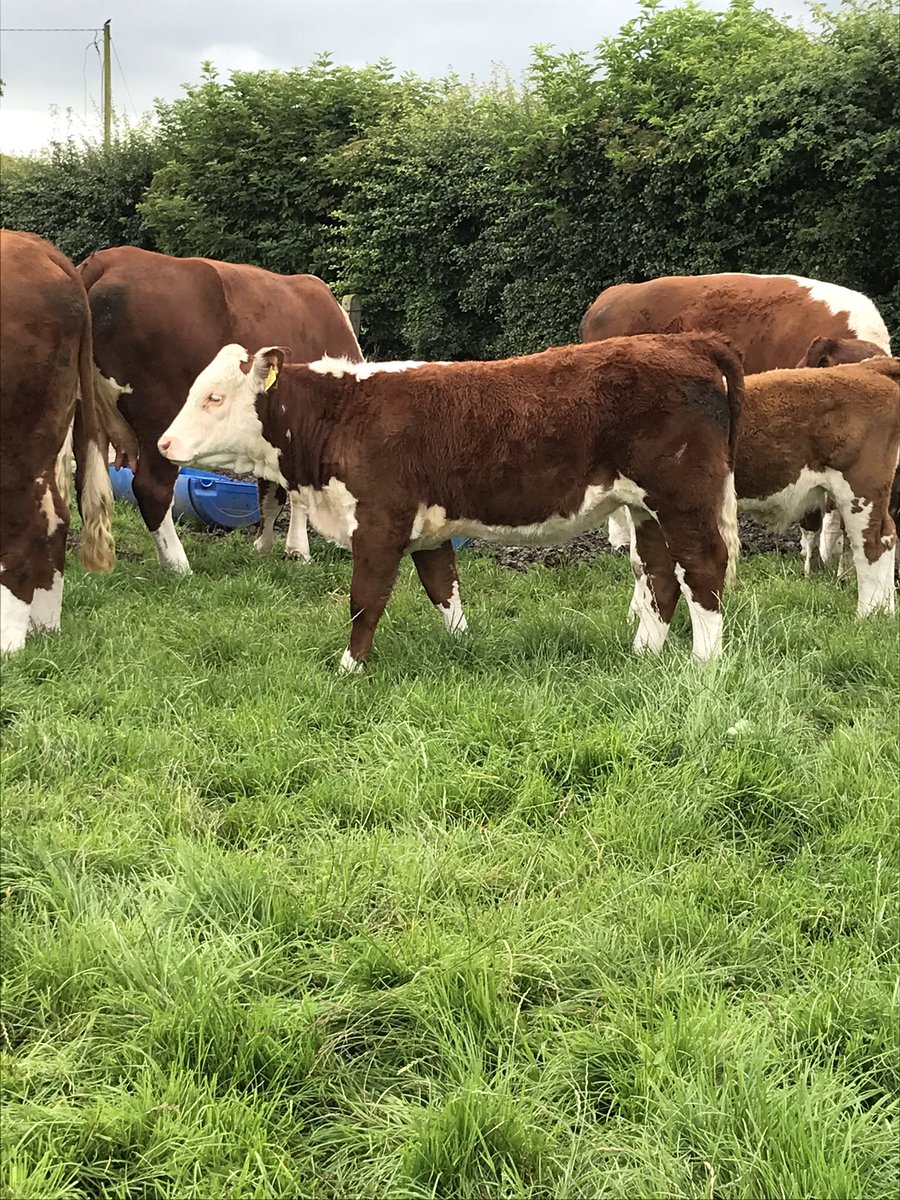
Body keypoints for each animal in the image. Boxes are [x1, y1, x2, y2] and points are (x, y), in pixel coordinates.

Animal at [1, 230, 115, 655]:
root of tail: (39, 247)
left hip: (16, 437)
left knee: (26, 525)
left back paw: (10, 643)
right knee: (57, 517)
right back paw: (44, 627)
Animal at [77, 247, 363, 572]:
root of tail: (108, 260)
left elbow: (274, 492)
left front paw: (270, 547)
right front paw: (295, 550)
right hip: (161, 418)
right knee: (152, 487)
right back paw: (178, 565)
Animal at [157, 335, 743, 669]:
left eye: (213, 397)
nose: (163, 444)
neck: (341, 414)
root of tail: (689, 342)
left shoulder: (379, 522)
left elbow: (365, 599)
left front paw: (349, 668)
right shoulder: (426, 528)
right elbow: (443, 588)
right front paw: (462, 646)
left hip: (681, 498)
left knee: (703, 569)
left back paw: (704, 665)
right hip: (645, 508)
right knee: (660, 576)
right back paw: (645, 652)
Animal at [624, 358, 900, 622]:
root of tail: (867, 369)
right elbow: (639, 560)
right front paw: (635, 614)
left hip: (860, 488)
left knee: (871, 545)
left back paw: (865, 615)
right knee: (888, 534)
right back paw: (885, 612)